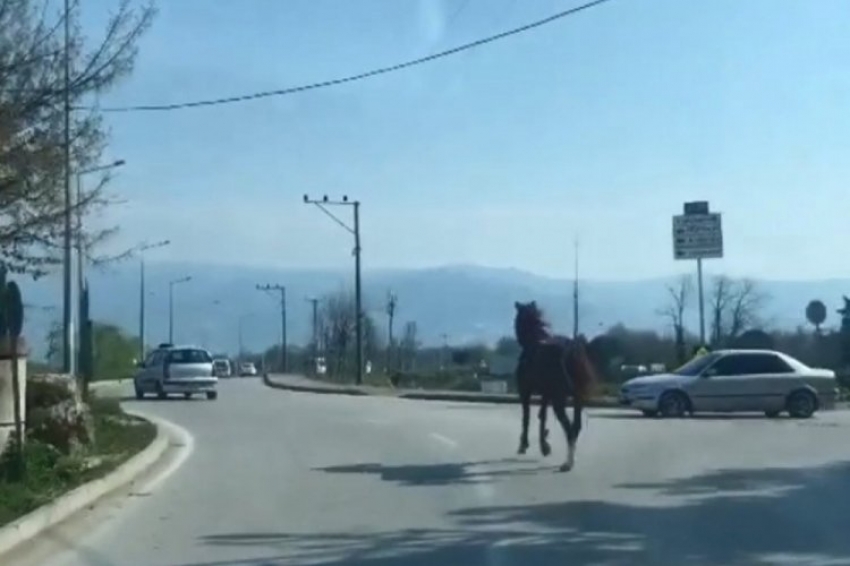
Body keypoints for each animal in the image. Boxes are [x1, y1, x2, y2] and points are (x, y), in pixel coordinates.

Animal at [512, 304, 592, 472]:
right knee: (576, 427)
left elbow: (526, 416)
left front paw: (524, 444)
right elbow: (542, 416)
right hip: (577, 398)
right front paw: (545, 445)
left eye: (517, 318)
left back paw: (568, 463)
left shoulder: (525, 392)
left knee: (569, 428)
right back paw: (570, 459)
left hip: (559, 399)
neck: (534, 341)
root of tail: (568, 350)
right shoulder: (545, 393)